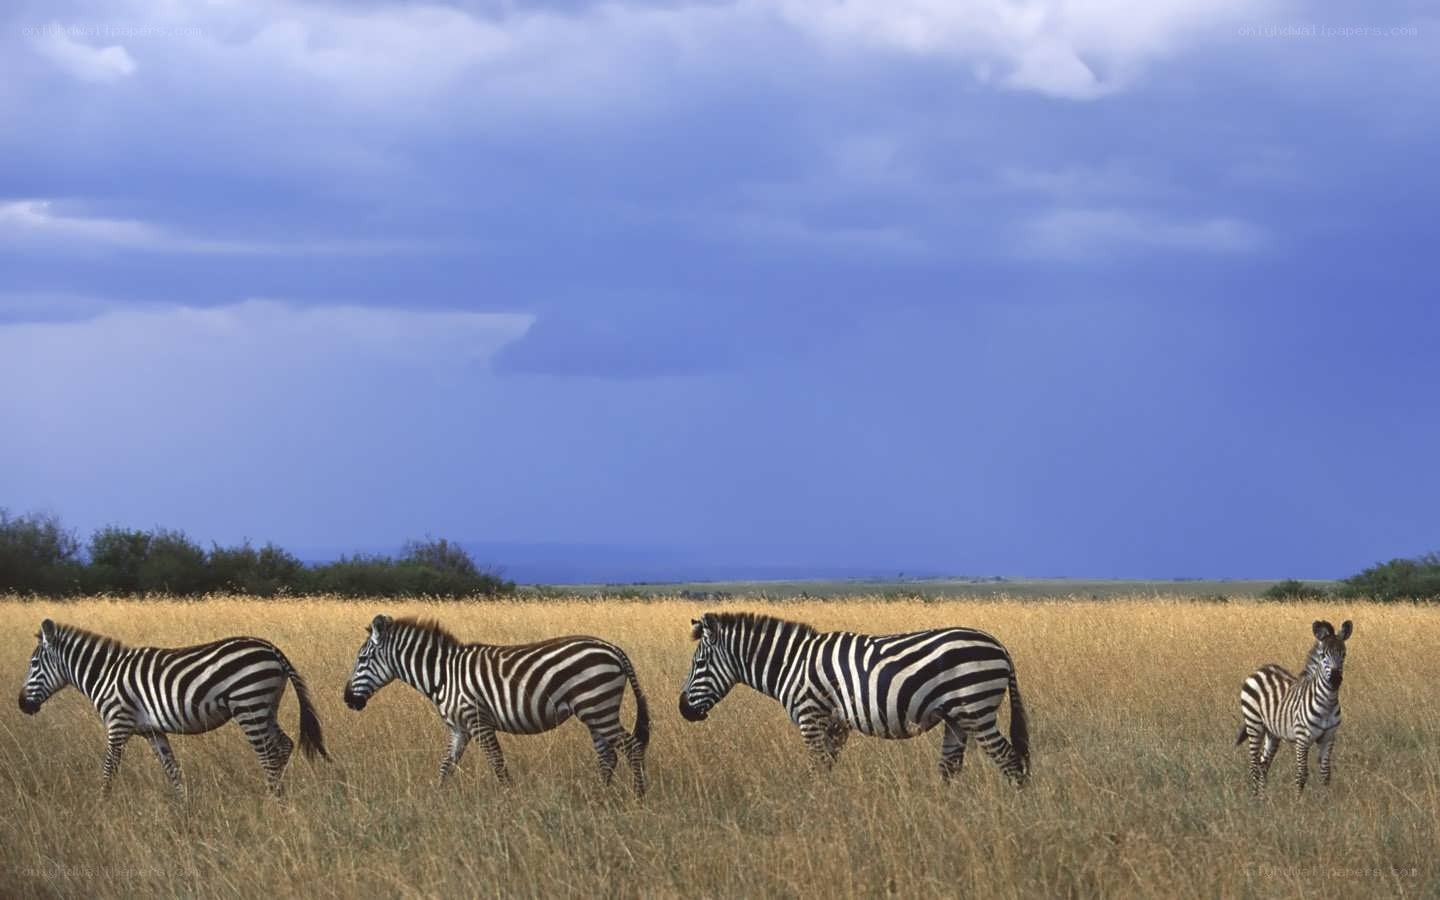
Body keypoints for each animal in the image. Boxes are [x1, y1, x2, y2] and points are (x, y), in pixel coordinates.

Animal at [18, 619, 327, 795]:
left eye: (33, 664)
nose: (22, 705)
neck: (105, 674)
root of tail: (271, 649)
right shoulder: (153, 732)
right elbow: (172, 770)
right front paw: (183, 807)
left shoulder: (118, 724)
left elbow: (108, 770)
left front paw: (102, 804)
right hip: (266, 706)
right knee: (284, 745)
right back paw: (281, 796)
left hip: (248, 704)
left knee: (268, 754)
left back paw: (272, 798)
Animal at [342, 615, 651, 796]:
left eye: (362, 659)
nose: (347, 699)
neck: (442, 675)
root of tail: (612, 648)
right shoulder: (459, 729)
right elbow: (446, 766)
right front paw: (437, 799)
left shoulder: (478, 720)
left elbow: (496, 762)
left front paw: (508, 799)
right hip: (594, 711)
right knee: (608, 756)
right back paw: (600, 798)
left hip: (597, 706)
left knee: (632, 748)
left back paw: (638, 796)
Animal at [678, 611, 1029, 784]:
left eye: (699, 664)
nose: (682, 709)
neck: (792, 663)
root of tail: (1000, 646)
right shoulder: (836, 724)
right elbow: (828, 767)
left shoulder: (811, 717)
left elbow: (817, 770)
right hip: (957, 716)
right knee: (950, 767)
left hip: (976, 709)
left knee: (1010, 761)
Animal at [1236, 619, 1352, 795]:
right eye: (1323, 655)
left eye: (1344, 654)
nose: (1335, 679)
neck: (1328, 703)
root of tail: (1260, 669)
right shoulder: (1302, 738)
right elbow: (1302, 773)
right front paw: (1299, 800)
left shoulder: (1329, 737)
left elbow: (1326, 773)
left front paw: (1326, 799)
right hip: (1254, 724)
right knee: (1254, 766)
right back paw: (1254, 798)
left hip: (1272, 732)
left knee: (1263, 764)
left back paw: (1263, 798)